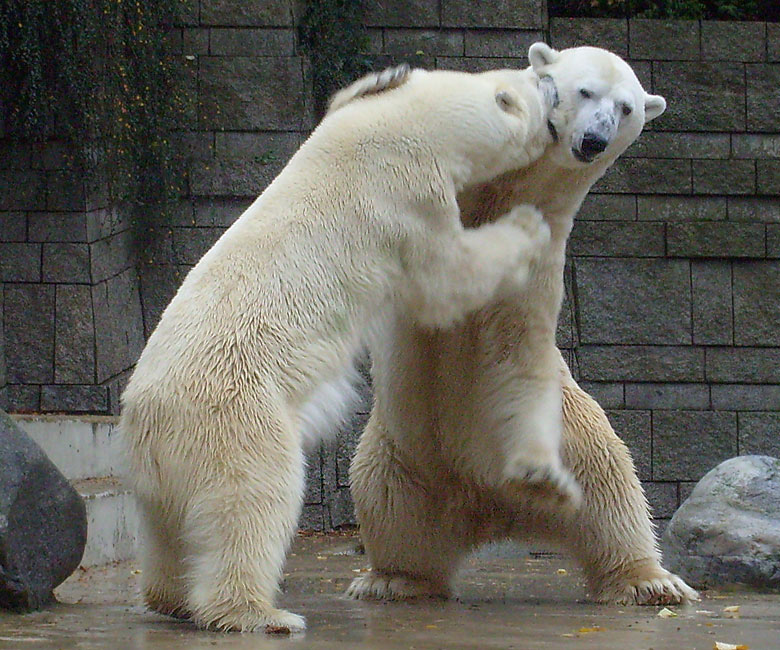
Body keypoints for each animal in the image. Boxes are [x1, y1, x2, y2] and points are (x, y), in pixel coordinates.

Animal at [120, 64, 556, 628]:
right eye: (534, 85)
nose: (549, 78)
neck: (405, 127)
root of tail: (147, 423)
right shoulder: (408, 199)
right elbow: (446, 279)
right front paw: (527, 224)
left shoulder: (347, 125)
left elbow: (347, 97)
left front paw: (384, 74)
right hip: (236, 422)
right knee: (252, 505)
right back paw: (259, 613)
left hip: (159, 469)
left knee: (165, 529)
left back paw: (169, 598)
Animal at [348, 43, 700, 604]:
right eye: (585, 91)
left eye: (625, 108)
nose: (594, 139)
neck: (503, 192)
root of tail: (488, 507)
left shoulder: (537, 254)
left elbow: (515, 344)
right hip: (397, 455)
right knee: (390, 508)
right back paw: (393, 578)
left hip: (573, 432)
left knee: (609, 490)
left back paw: (650, 580)